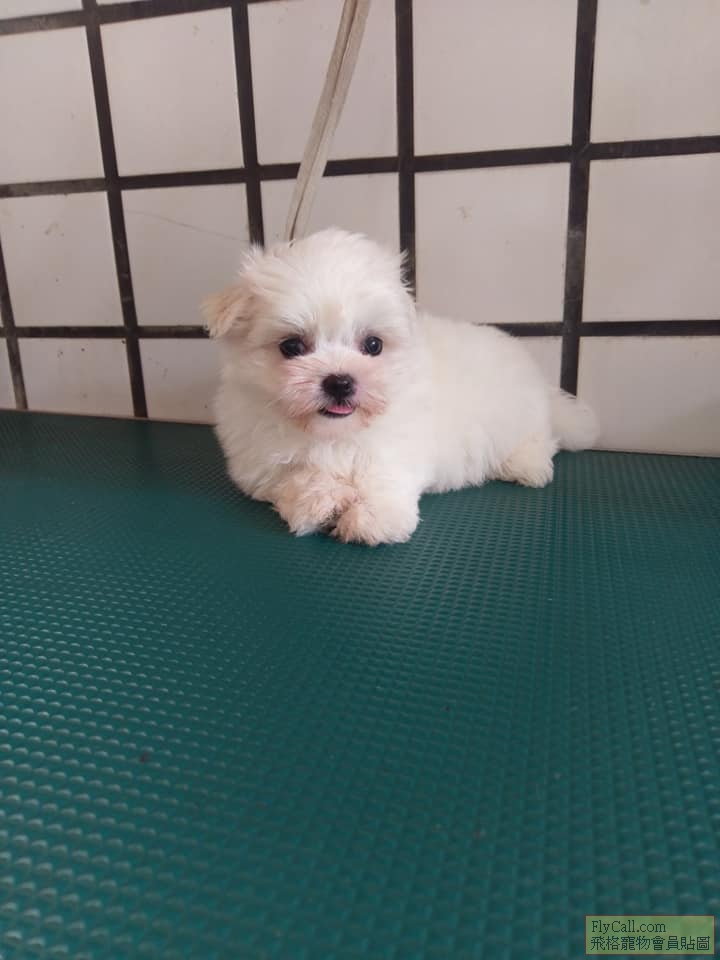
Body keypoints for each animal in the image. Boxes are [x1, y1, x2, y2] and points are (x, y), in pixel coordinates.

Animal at [204, 228, 597, 545]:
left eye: (373, 345)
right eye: (291, 347)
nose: (340, 382)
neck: (333, 432)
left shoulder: (401, 440)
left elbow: (383, 472)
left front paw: (374, 518)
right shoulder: (259, 460)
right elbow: (293, 476)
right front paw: (320, 502)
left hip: (519, 416)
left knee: (539, 440)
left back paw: (526, 465)